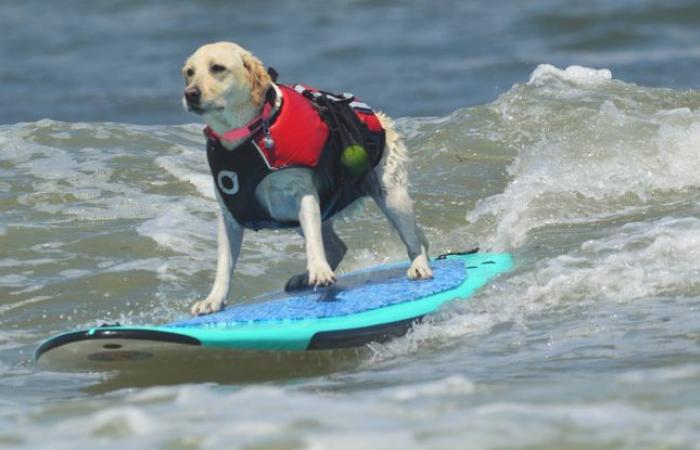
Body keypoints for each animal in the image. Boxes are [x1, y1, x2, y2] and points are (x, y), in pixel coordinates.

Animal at [180, 43, 432, 316]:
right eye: (189, 72)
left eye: (217, 68)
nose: (190, 94)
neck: (249, 135)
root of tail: (379, 116)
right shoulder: (229, 214)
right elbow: (224, 264)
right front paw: (213, 299)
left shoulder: (302, 194)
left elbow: (314, 241)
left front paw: (319, 270)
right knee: (337, 246)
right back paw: (303, 276)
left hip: (392, 195)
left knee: (413, 239)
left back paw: (419, 265)